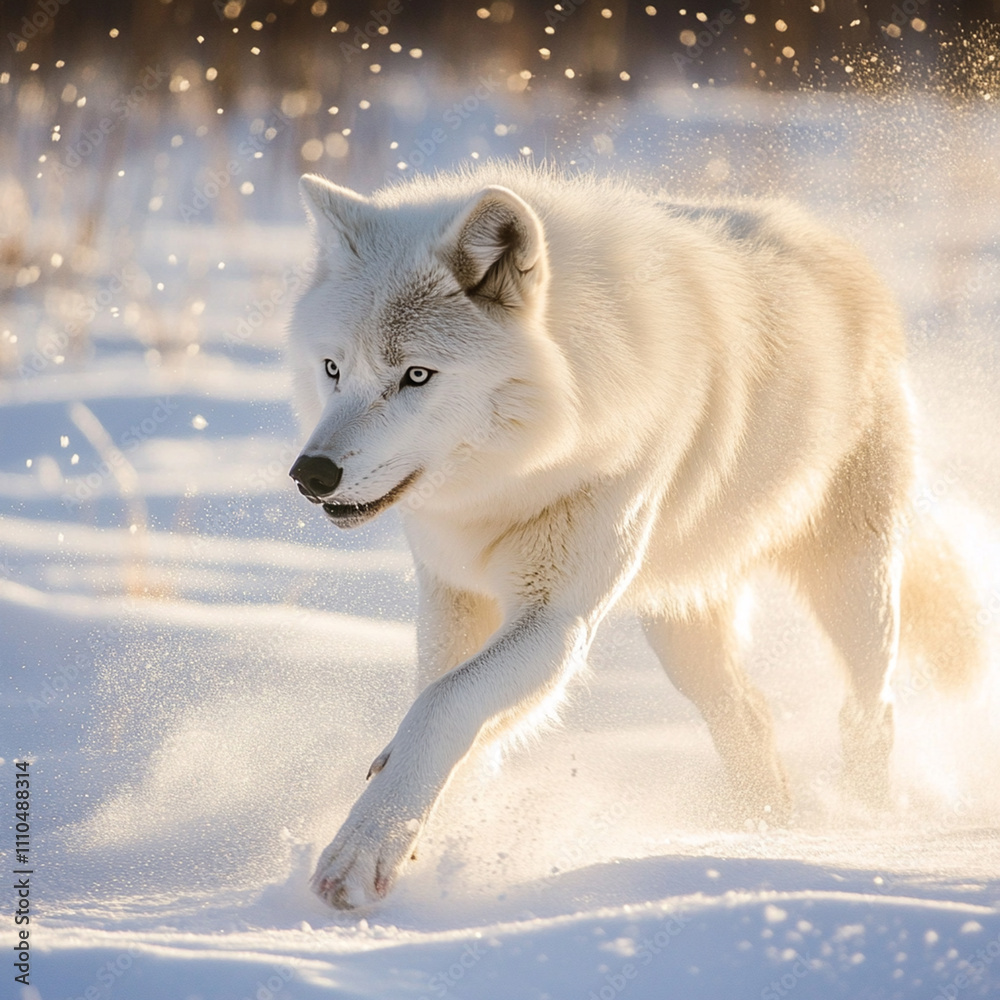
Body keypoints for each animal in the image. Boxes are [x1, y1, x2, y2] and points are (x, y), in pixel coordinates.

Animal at [287, 164, 981, 909]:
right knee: (748, 715)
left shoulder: (558, 618)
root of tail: (833, 242)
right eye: (333, 369)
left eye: (416, 374)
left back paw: (859, 827)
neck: (514, 478)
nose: (310, 474)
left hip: (849, 585)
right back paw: (759, 831)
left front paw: (361, 854)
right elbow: (447, 709)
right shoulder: (453, 595)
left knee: (870, 710)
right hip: (681, 628)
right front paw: (418, 832)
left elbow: (442, 706)